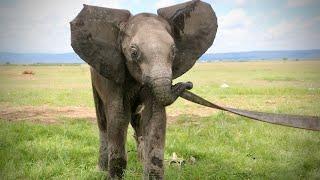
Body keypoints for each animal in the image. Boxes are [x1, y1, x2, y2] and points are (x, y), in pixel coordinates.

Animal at [69, 0, 216, 179]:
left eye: (174, 51)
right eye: (133, 52)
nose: (188, 84)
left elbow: (155, 118)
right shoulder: (114, 73)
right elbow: (118, 118)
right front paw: (115, 176)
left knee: (138, 122)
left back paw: (139, 162)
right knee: (102, 120)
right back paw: (101, 170)